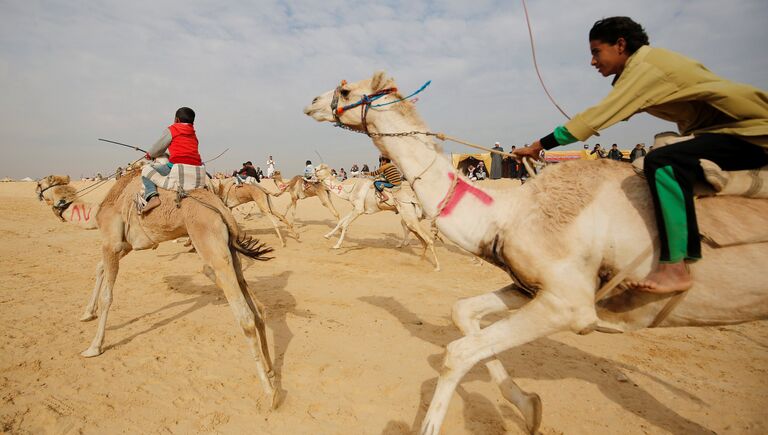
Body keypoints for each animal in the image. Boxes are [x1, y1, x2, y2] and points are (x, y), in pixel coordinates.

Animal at [39, 169, 280, 408]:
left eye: (41, 184)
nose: (37, 192)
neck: (98, 211)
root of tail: (220, 207)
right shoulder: (126, 245)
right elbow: (99, 268)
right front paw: (87, 313)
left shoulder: (111, 243)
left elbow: (107, 296)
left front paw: (94, 347)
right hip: (229, 247)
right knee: (256, 307)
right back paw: (270, 368)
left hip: (209, 240)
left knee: (244, 316)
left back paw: (270, 392)